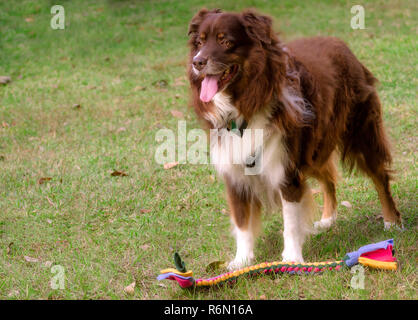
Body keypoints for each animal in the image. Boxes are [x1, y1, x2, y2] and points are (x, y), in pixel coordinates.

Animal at [187, 8, 402, 270]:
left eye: (225, 41)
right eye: (199, 43)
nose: (197, 62)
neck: (244, 103)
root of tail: (339, 42)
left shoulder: (286, 169)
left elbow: (290, 220)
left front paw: (291, 258)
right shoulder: (236, 172)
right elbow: (242, 222)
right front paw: (241, 261)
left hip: (359, 133)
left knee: (380, 177)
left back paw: (392, 220)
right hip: (313, 148)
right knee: (328, 179)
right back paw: (327, 219)